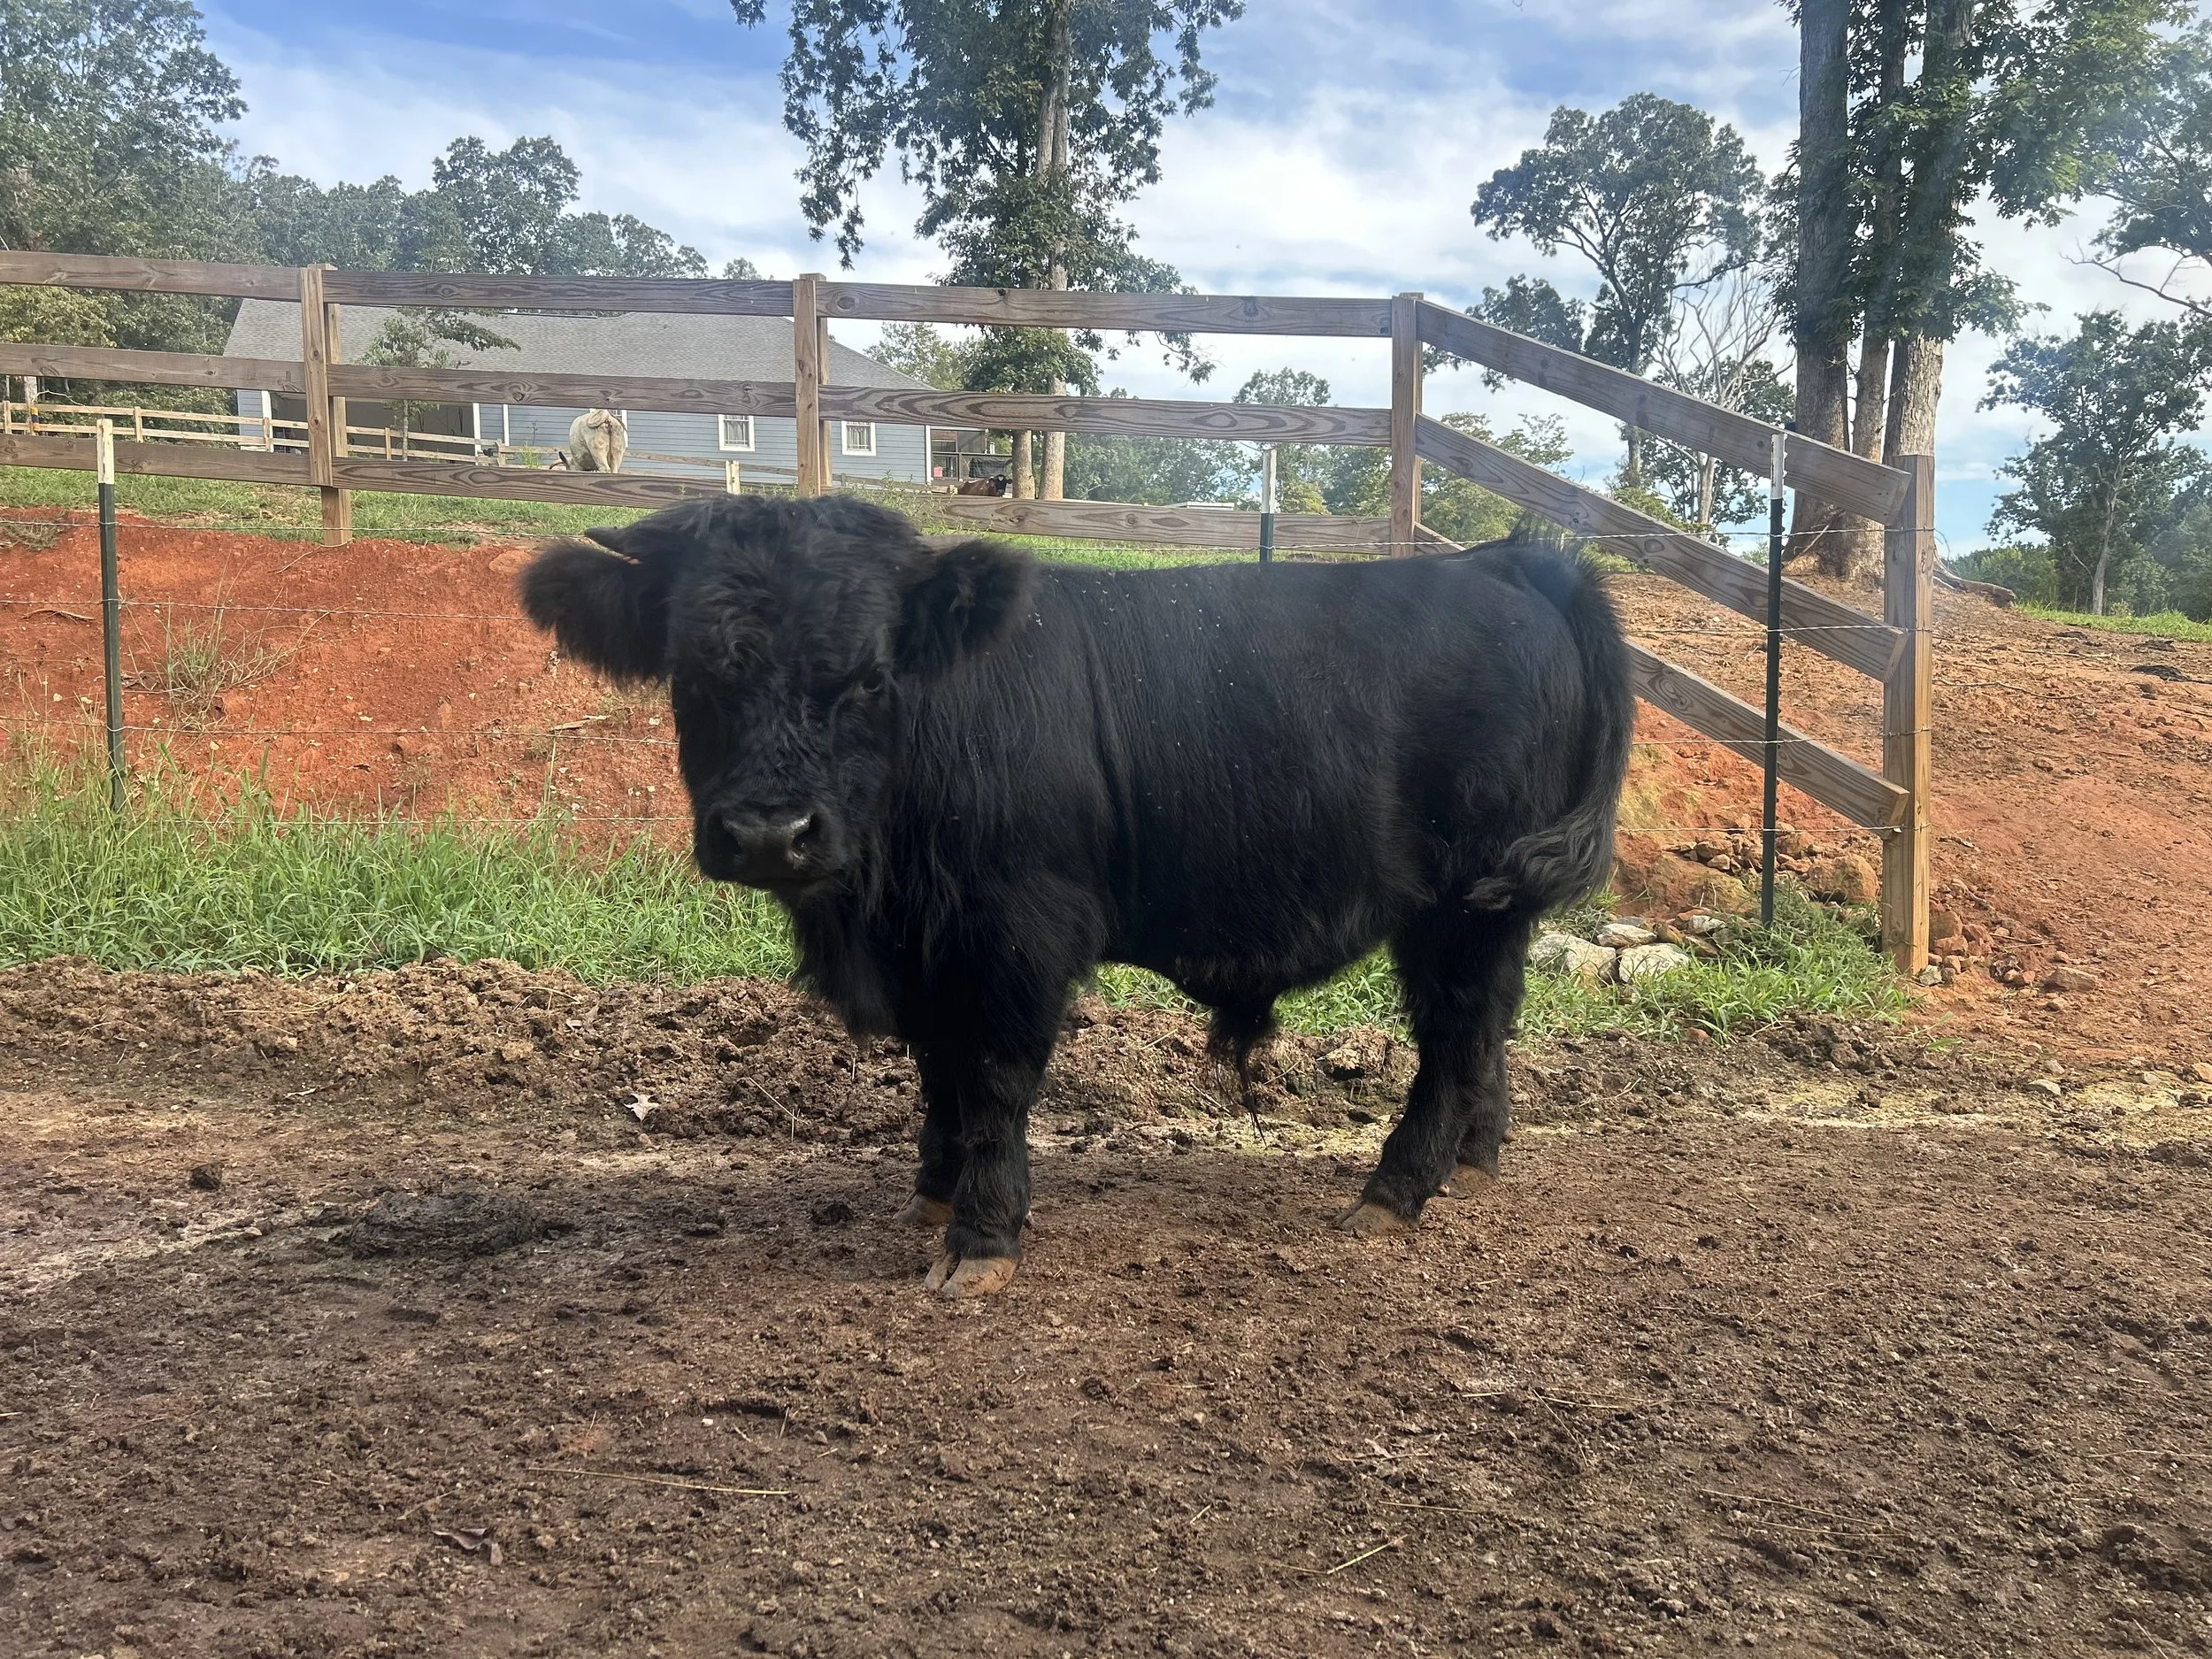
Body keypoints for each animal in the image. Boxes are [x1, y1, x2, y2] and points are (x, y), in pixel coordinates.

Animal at [519, 495, 1632, 1299]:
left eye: (871, 676)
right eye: (692, 673)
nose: (767, 833)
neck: (874, 907)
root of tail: (1505, 560)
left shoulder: (1017, 930)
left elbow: (995, 1078)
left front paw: (981, 1238)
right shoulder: (931, 951)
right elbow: (940, 1073)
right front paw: (931, 1195)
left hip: (1463, 904)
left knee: (1452, 1036)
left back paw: (1394, 1193)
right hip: (1495, 909)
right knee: (1489, 1028)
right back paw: (1473, 1167)